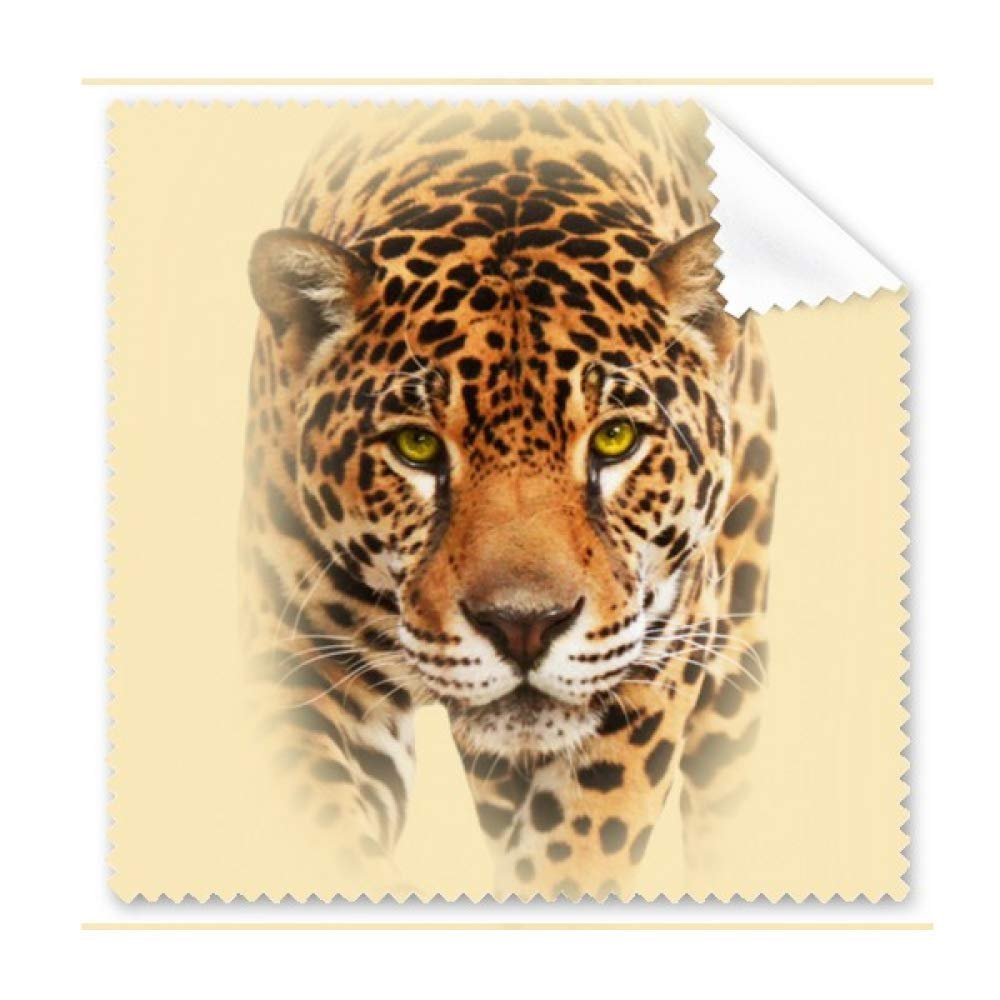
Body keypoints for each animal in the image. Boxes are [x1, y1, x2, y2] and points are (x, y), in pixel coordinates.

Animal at [239, 101, 776, 899]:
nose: (524, 627)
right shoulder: (299, 657)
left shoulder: (656, 651)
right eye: (418, 447)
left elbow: (584, 846)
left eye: (615, 438)